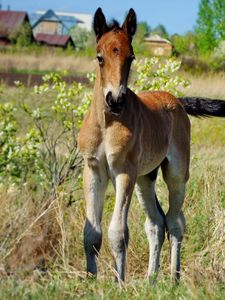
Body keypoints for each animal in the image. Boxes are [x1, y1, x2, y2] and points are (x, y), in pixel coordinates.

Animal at [78, 7, 225, 284]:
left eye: (131, 57)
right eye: (100, 57)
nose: (115, 99)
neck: (107, 123)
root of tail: (176, 100)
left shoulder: (124, 172)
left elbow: (117, 233)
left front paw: (119, 283)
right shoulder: (93, 171)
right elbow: (91, 233)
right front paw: (90, 281)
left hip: (175, 174)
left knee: (175, 222)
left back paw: (173, 279)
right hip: (145, 178)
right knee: (156, 223)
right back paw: (151, 279)